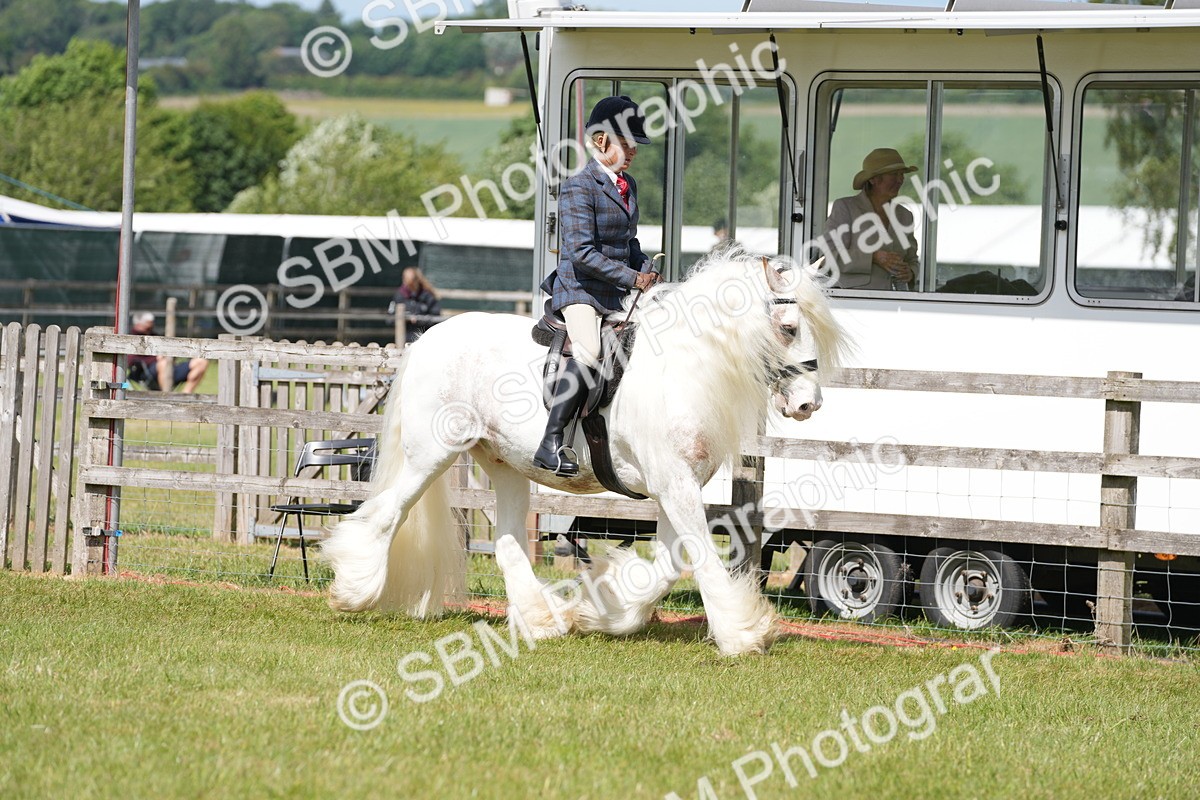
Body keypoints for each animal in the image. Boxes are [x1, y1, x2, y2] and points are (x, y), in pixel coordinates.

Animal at [321, 249, 849, 655]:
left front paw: (609, 610)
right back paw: (354, 590)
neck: (682, 368)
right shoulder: (674, 485)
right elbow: (698, 557)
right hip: (431, 455)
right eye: (787, 327)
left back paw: (543, 621)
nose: (809, 404)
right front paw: (742, 635)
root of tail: (428, 337)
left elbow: (668, 565)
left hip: (506, 465)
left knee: (507, 544)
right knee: (386, 515)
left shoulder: (676, 487)